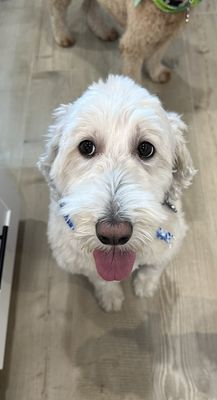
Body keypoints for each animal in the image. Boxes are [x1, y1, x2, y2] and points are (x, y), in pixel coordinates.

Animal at [38, 75, 195, 312]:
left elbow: (154, 267)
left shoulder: (171, 241)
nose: (113, 233)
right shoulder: (82, 263)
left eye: (146, 149)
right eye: (86, 147)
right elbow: (100, 278)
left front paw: (146, 285)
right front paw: (110, 296)